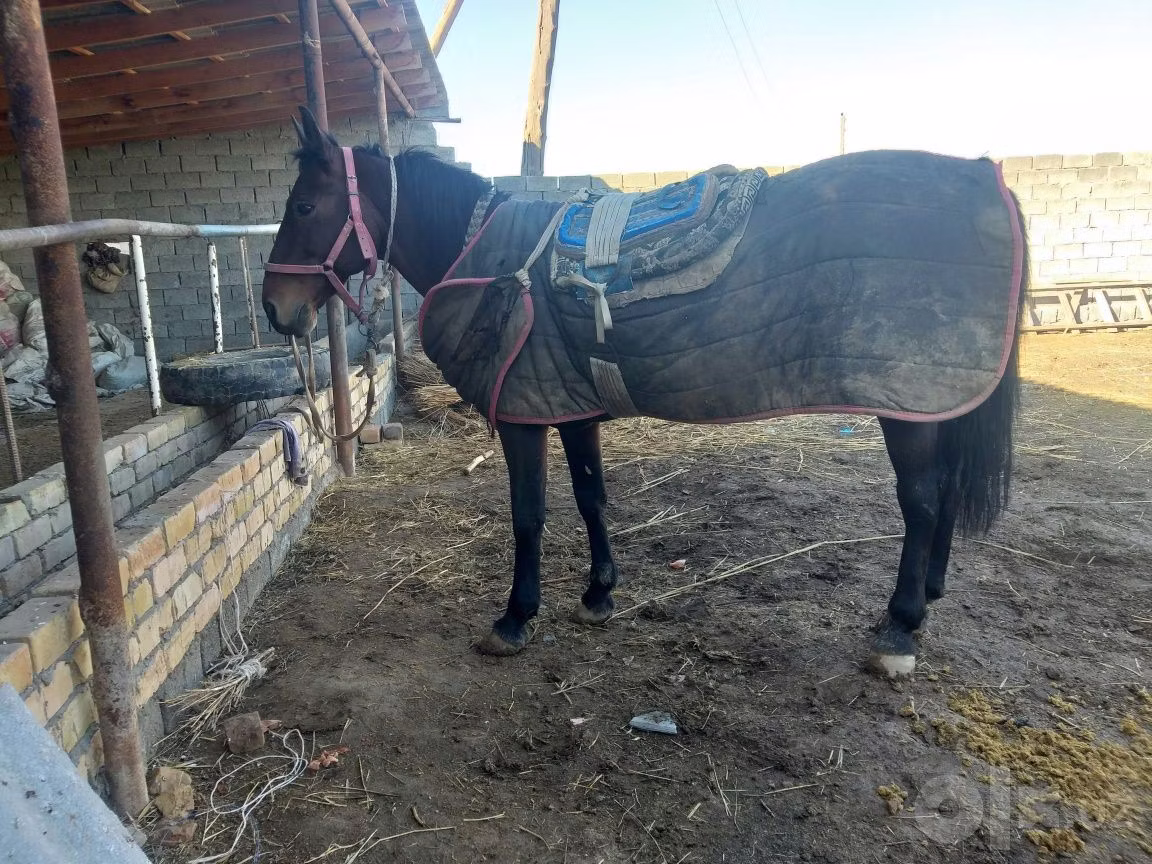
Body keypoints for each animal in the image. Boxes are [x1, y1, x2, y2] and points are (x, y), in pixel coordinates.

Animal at [262, 107, 1027, 678]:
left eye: (304, 204)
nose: (275, 309)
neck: (486, 255)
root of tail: (984, 176)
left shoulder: (525, 415)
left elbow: (529, 515)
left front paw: (515, 617)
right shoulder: (568, 401)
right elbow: (592, 496)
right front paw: (599, 592)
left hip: (910, 404)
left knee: (922, 500)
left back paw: (899, 628)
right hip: (933, 400)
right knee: (945, 492)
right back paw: (927, 597)